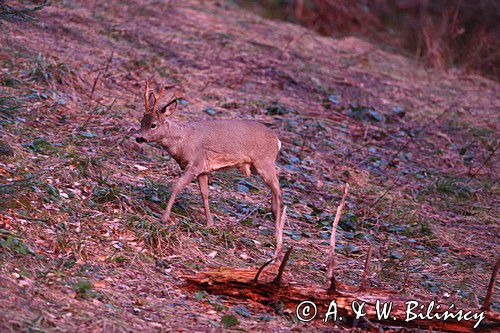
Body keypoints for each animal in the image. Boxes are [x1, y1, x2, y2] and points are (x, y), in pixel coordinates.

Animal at [134, 82, 282, 233]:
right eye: (141, 121)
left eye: (153, 125)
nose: (139, 137)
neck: (184, 140)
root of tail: (277, 140)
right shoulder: (203, 170)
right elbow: (204, 194)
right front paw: (210, 223)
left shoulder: (195, 163)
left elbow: (177, 185)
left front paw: (165, 218)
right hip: (257, 165)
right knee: (276, 183)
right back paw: (274, 213)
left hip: (264, 161)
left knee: (278, 188)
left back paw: (277, 227)